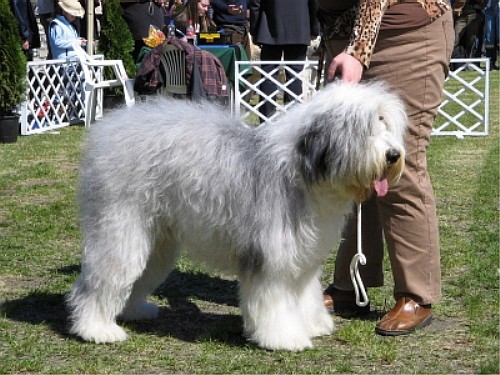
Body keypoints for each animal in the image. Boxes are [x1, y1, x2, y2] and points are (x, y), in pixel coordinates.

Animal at [68, 81, 408, 352]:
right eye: (364, 130)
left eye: (385, 124)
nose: (393, 155)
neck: (304, 170)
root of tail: (109, 129)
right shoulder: (270, 258)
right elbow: (274, 302)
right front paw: (284, 338)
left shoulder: (303, 258)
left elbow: (305, 295)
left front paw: (312, 324)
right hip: (121, 227)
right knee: (101, 280)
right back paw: (97, 329)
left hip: (157, 240)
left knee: (136, 277)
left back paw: (135, 311)